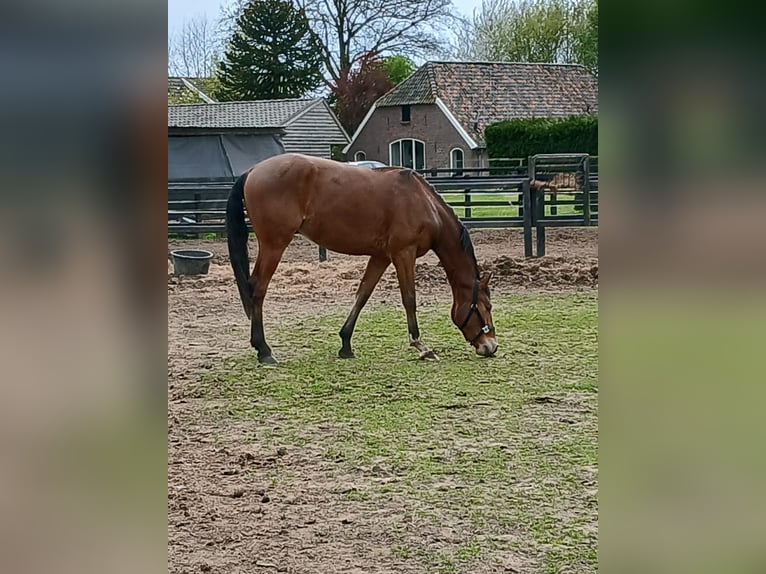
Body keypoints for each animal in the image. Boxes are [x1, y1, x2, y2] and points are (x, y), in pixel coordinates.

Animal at [225, 153, 497, 364]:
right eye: (487, 307)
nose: (491, 346)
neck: (424, 202)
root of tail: (253, 171)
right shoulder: (404, 254)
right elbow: (409, 299)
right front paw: (422, 347)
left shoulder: (380, 257)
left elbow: (362, 295)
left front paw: (345, 343)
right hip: (274, 244)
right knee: (257, 288)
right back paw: (264, 350)